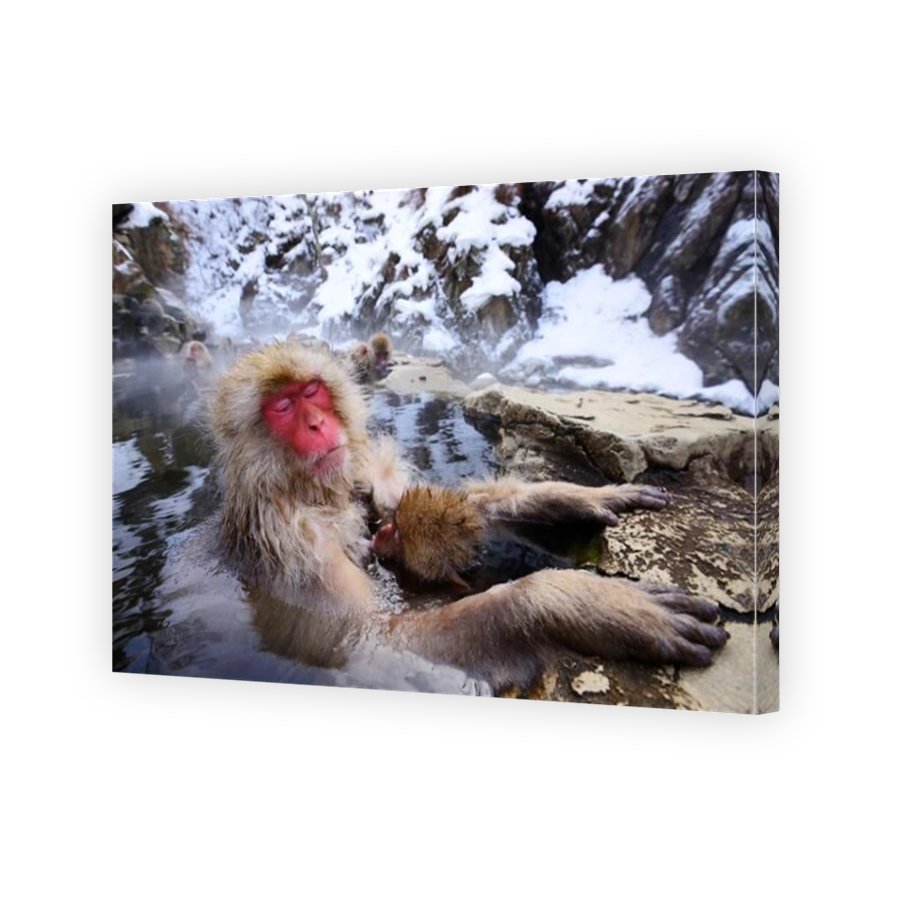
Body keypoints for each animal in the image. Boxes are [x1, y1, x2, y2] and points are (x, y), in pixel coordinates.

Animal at [210, 340, 728, 692]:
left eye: (312, 392)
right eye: (282, 407)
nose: (318, 425)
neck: (311, 491)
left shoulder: (364, 475)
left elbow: (441, 505)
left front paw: (572, 497)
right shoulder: (297, 545)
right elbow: (376, 641)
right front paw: (583, 602)